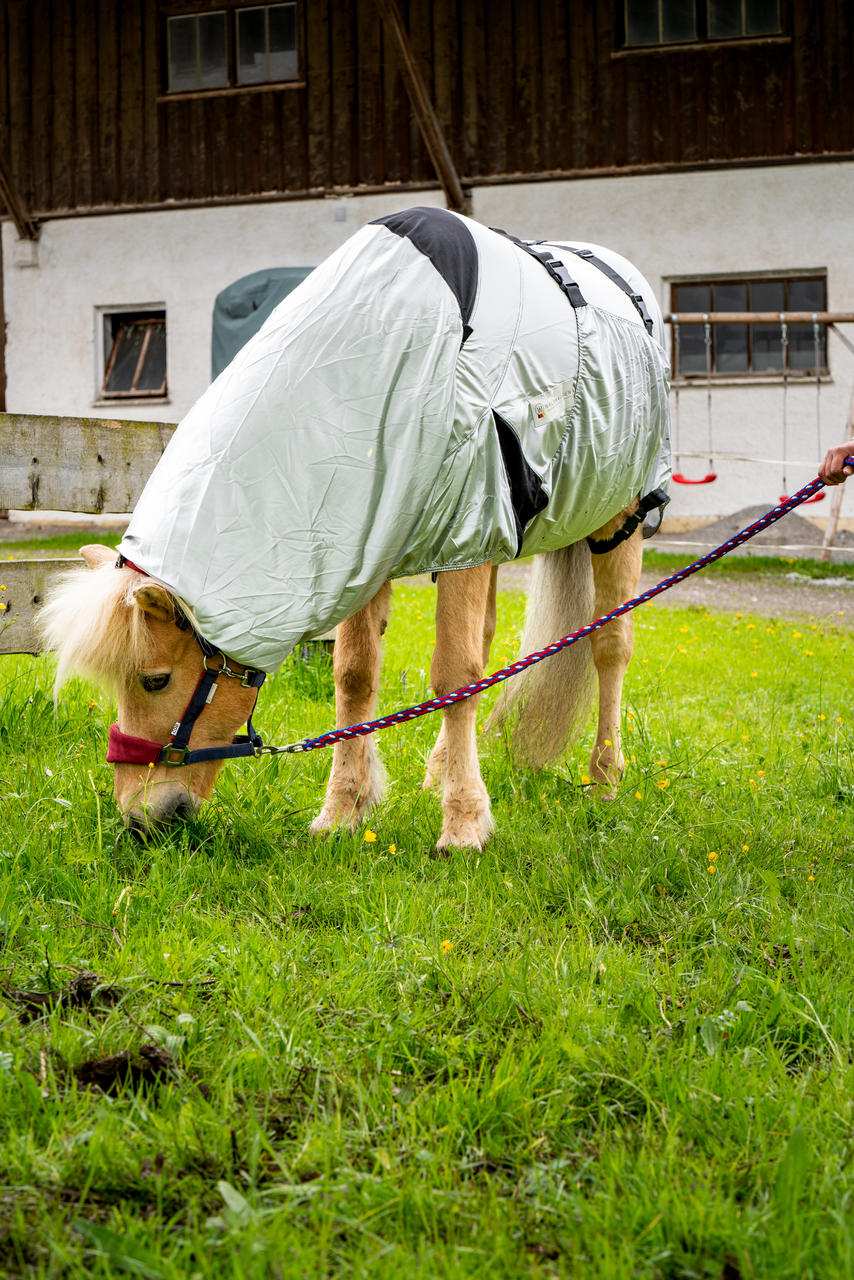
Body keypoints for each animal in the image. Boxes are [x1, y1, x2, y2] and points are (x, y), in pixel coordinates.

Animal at [40, 207, 670, 849]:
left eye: (156, 680)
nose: (141, 819)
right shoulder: (365, 539)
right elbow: (355, 676)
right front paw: (344, 810)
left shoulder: (463, 537)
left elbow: (454, 673)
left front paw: (464, 824)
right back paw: (440, 768)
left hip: (615, 521)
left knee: (610, 645)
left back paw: (605, 779)